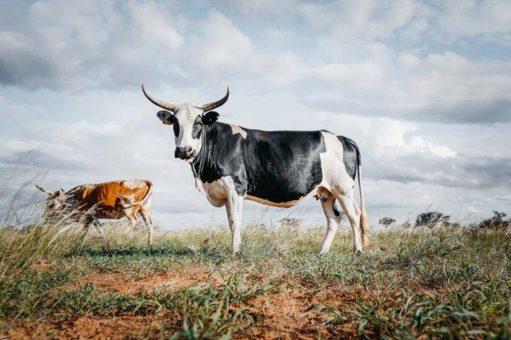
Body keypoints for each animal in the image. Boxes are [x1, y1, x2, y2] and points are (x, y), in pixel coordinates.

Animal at [143, 86, 368, 254]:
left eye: (198, 123)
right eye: (175, 123)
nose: (184, 150)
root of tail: (340, 137)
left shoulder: (236, 187)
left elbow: (235, 221)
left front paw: (235, 252)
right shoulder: (224, 192)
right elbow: (230, 221)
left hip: (343, 189)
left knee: (354, 215)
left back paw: (357, 250)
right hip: (326, 192)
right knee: (334, 219)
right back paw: (322, 252)